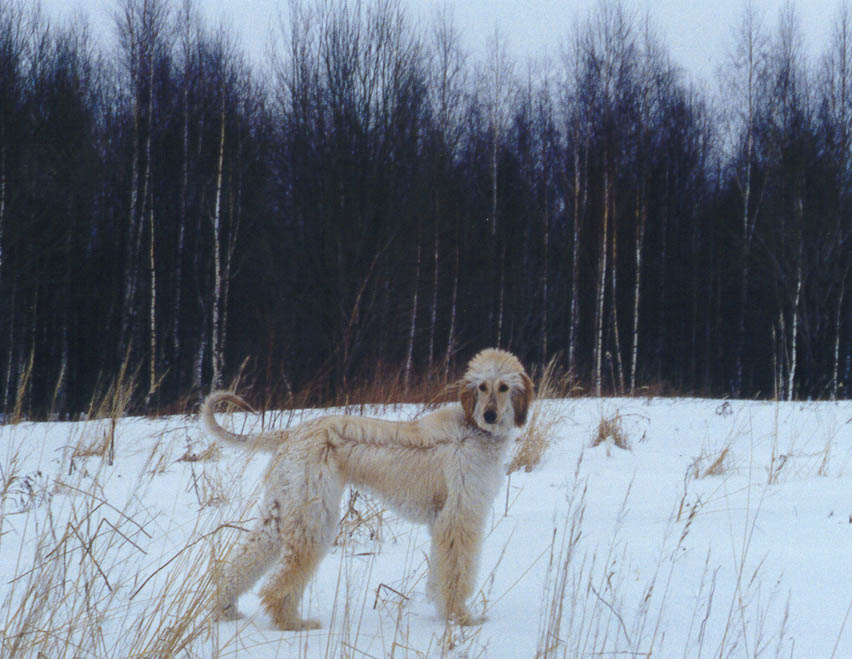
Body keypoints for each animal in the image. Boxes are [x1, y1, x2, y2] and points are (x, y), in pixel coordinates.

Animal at [201, 348, 532, 632]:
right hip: (314, 515)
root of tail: (291, 433)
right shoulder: (459, 516)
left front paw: (445, 612)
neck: (474, 431)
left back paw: (226, 608)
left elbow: (442, 572)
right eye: (481, 387)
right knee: (276, 582)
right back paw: (291, 622)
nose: (490, 416)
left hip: (282, 507)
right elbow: (457, 571)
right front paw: (460, 617)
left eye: (504, 387)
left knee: (244, 560)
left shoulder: (443, 521)